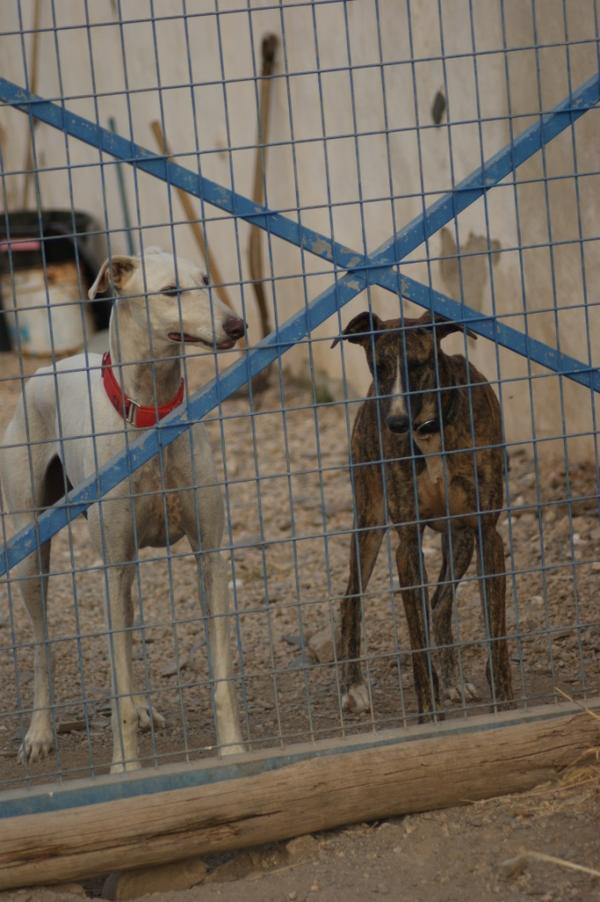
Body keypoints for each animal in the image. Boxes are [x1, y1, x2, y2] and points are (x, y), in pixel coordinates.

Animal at [0, 249, 246, 776]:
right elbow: (116, 670)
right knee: (45, 648)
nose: (238, 325)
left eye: (205, 280)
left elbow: (220, 677)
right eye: (171, 290)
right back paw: (39, 732)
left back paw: (140, 706)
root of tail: (54, 366)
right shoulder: (111, 565)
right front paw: (125, 768)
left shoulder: (209, 555)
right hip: (30, 553)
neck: (150, 416)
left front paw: (234, 751)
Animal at [332, 310, 510, 720]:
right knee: (351, 600)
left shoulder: (487, 533)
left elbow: (496, 632)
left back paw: (452, 680)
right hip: (370, 521)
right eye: (378, 367)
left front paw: (506, 702)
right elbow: (417, 642)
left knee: (441, 604)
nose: (395, 423)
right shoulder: (407, 544)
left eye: (417, 365)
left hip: (460, 539)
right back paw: (354, 687)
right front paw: (429, 713)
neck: (430, 431)